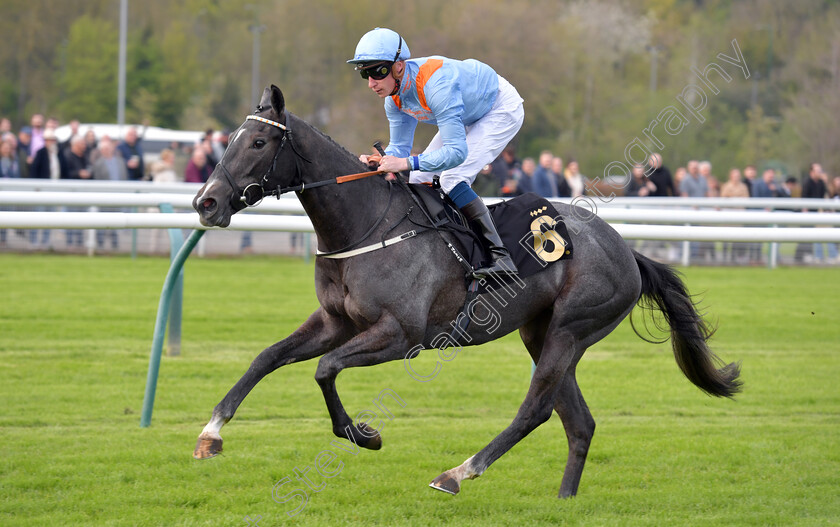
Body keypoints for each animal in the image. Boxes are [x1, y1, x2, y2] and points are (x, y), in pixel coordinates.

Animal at [190, 85, 740, 500]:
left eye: (259, 142)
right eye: (230, 139)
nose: (205, 202)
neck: (364, 224)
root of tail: (626, 249)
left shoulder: (401, 335)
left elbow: (326, 370)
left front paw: (364, 435)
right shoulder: (335, 321)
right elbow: (266, 357)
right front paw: (210, 434)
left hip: (571, 329)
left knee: (536, 410)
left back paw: (458, 473)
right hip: (541, 333)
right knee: (579, 422)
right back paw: (564, 499)